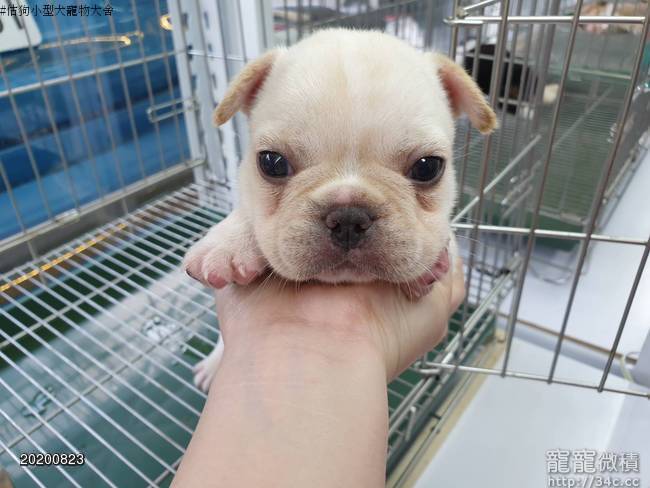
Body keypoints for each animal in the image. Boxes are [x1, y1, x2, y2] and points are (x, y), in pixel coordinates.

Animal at [184, 29, 497, 392]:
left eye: (428, 167)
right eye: (271, 162)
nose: (348, 217)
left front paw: (429, 268)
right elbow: (246, 214)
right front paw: (227, 243)